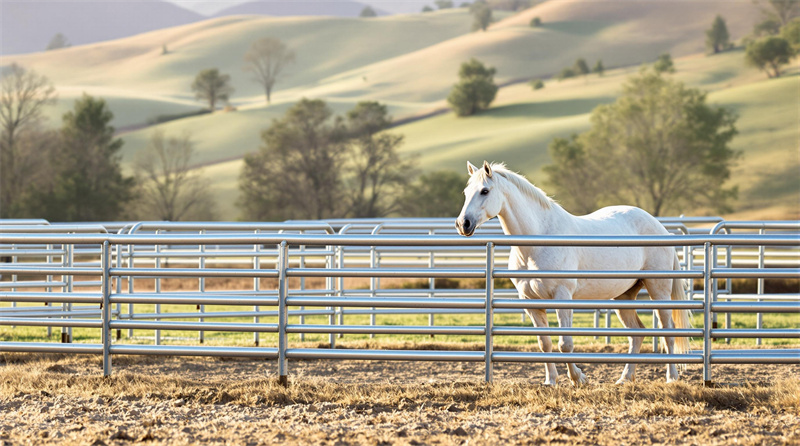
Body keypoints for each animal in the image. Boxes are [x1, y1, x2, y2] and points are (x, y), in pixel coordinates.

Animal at [456, 162, 692, 386]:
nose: (462, 224)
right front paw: (551, 381)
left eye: (485, 191)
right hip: (623, 296)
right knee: (637, 334)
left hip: (658, 289)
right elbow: (545, 343)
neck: (539, 241)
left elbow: (565, 344)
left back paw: (672, 378)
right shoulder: (531, 302)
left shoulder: (562, 296)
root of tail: (659, 227)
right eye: (466, 192)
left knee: (668, 332)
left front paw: (578, 378)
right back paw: (625, 378)